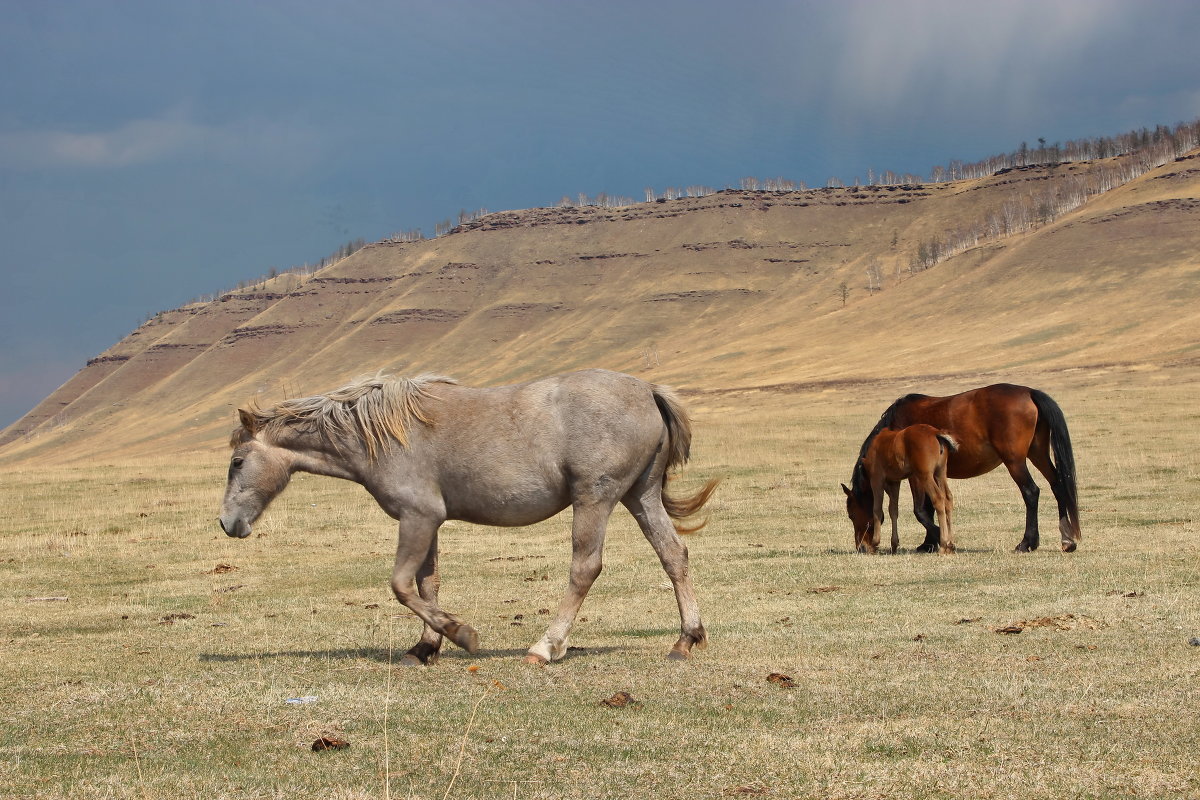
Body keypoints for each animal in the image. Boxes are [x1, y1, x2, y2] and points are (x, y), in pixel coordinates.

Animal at [219, 371, 715, 666]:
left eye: (238, 462)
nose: (227, 523)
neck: (382, 434)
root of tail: (647, 391)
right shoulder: (427, 523)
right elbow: (427, 584)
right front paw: (425, 646)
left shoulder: (417, 518)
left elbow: (401, 585)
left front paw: (460, 633)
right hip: (640, 496)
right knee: (674, 555)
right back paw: (685, 639)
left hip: (595, 500)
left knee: (584, 568)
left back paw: (545, 646)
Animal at [844, 424, 955, 556]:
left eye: (852, 515)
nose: (860, 547)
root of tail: (935, 433)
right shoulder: (894, 483)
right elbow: (893, 510)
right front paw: (894, 545)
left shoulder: (876, 480)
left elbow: (877, 509)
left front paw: (875, 543)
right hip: (940, 473)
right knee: (948, 498)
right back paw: (950, 544)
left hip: (925, 476)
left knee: (938, 498)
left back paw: (943, 545)